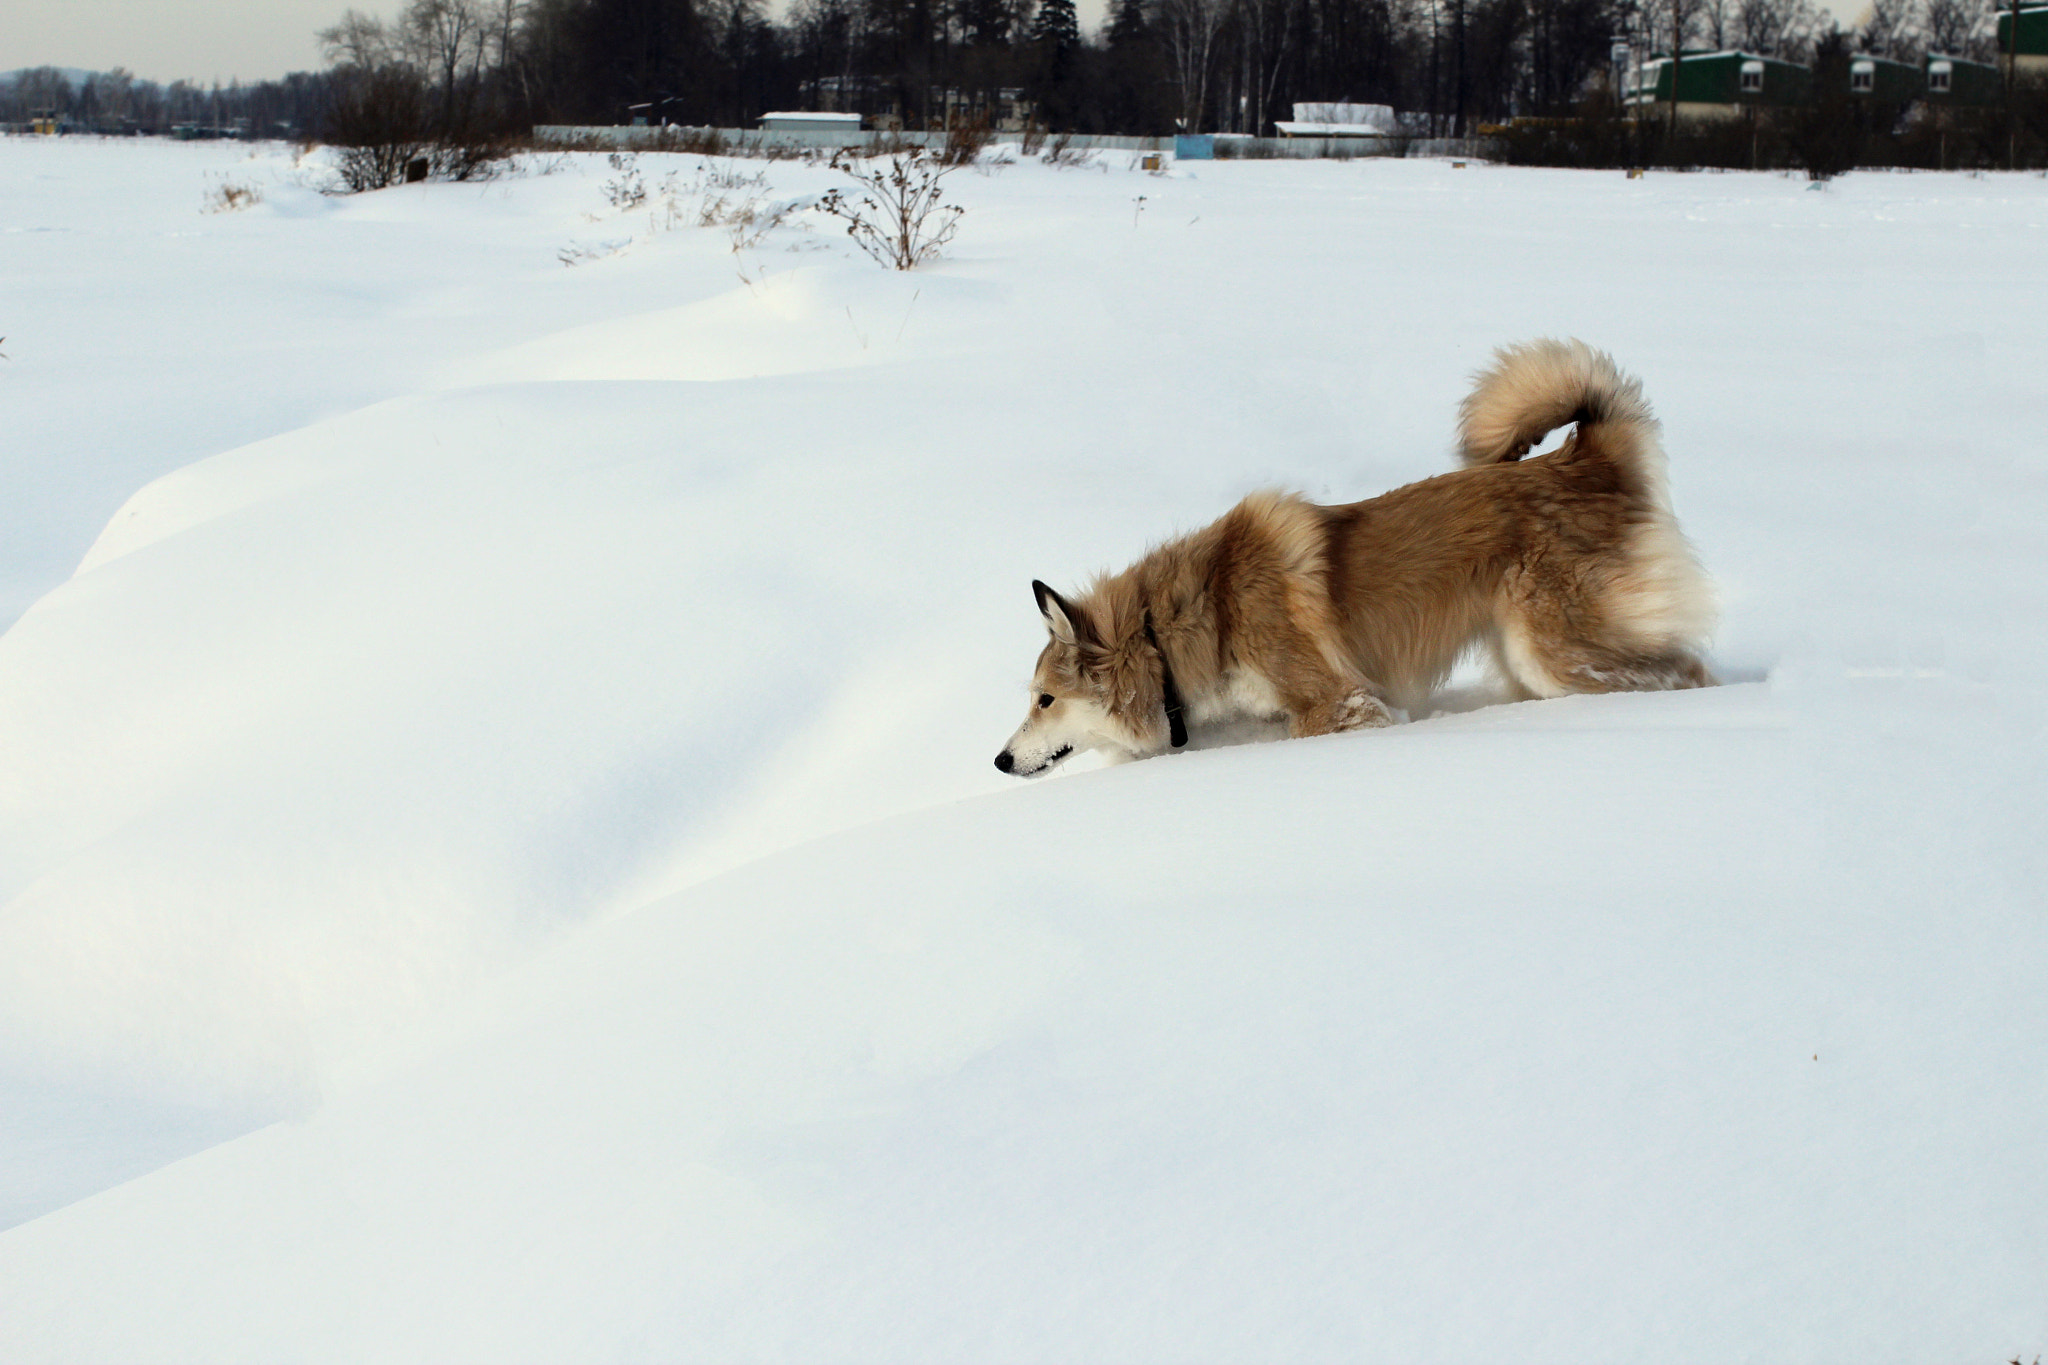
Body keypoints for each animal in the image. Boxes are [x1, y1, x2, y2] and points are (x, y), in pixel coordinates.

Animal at [991, 341, 1712, 777]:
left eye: (1045, 699)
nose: (999, 760)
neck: (1170, 634)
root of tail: (1585, 457)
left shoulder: (1344, 701)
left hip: (1555, 653)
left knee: (1685, 670)